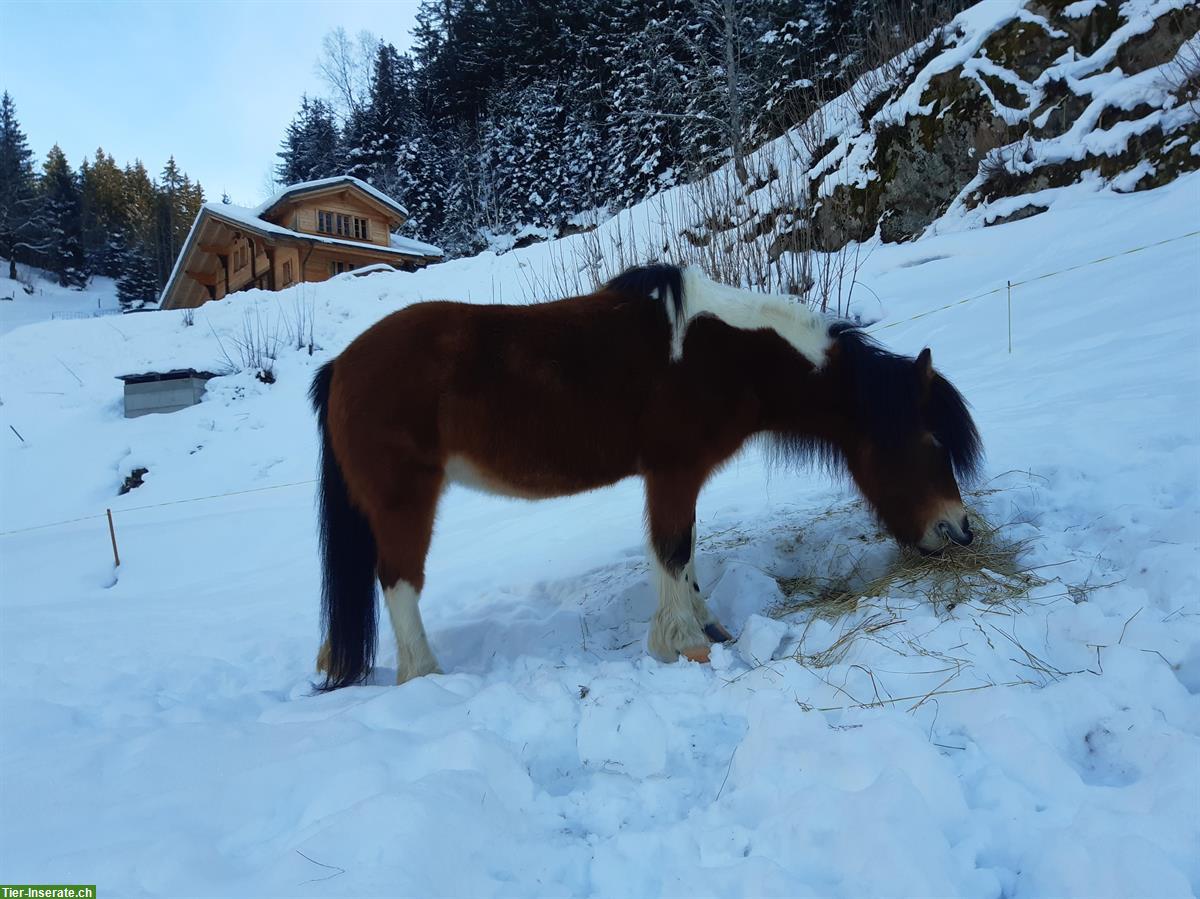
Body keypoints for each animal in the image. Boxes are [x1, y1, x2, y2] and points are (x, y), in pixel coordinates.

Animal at [312, 262, 984, 691]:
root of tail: (341, 364)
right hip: (405, 501)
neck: (730, 353)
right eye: (929, 442)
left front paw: (709, 627)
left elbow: (684, 555)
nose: (958, 530)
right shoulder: (673, 472)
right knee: (399, 582)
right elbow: (673, 549)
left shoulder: (678, 479)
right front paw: (685, 643)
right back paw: (425, 677)